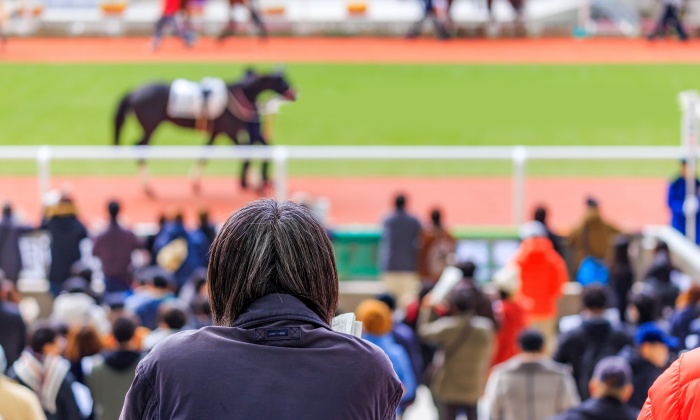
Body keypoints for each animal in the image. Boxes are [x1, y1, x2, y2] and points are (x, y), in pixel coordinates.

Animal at [113, 72, 294, 195]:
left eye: (285, 78)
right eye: (281, 80)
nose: (294, 92)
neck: (235, 95)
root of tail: (134, 91)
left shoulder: (217, 132)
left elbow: (205, 154)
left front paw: (195, 182)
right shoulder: (229, 130)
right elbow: (243, 151)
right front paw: (254, 183)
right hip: (151, 127)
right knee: (139, 147)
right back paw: (147, 187)